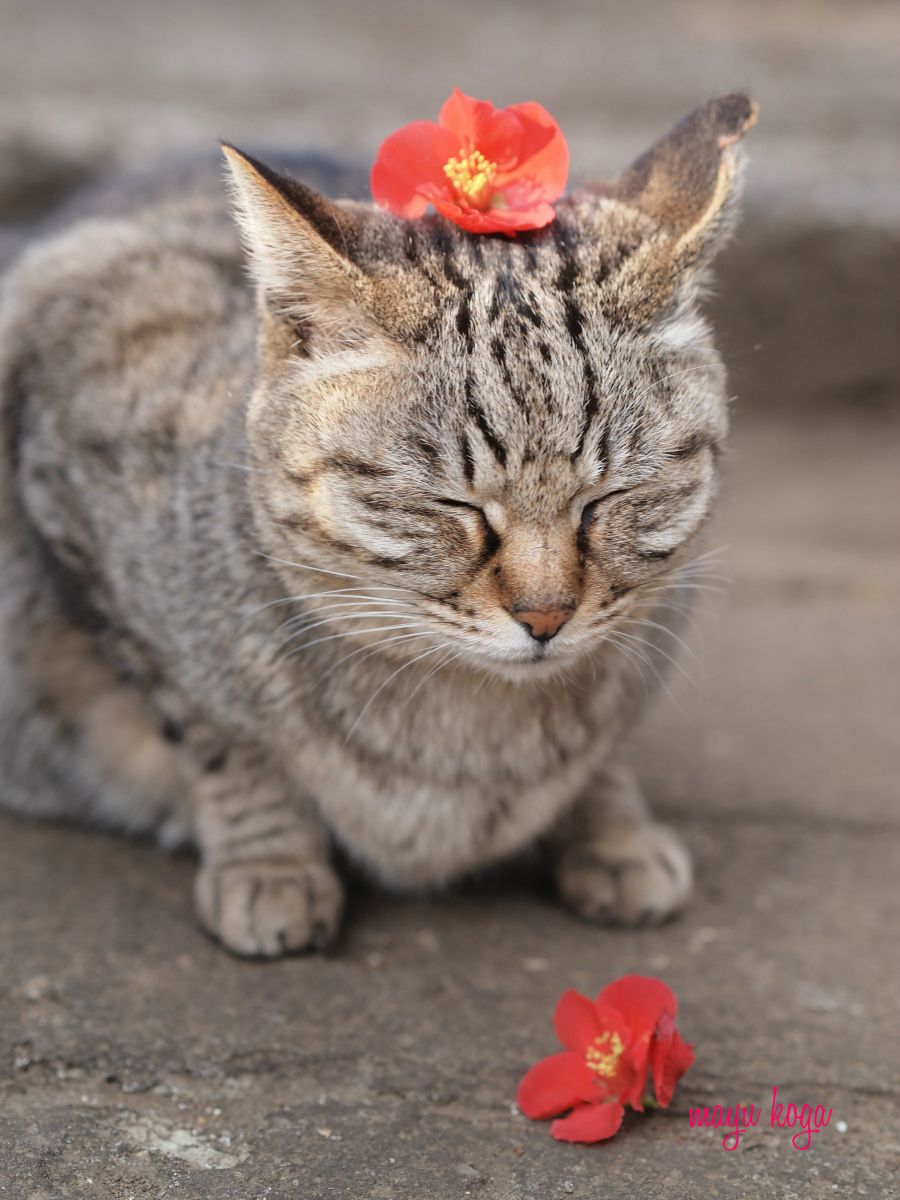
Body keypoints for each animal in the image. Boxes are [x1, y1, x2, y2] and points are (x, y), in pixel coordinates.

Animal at [0, 91, 758, 955]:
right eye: (454, 505)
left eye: (608, 498)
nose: (546, 618)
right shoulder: (76, 499)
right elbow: (218, 735)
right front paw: (271, 862)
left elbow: (607, 743)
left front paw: (611, 826)